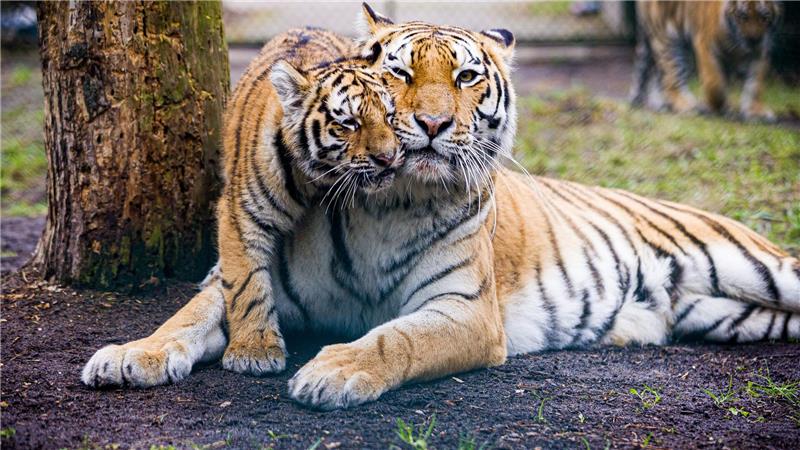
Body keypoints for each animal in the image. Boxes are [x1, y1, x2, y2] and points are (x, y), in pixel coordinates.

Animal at [81, 27, 401, 385]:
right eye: (348, 123)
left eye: (390, 117)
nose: (389, 158)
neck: (316, 178)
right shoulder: (241, 213)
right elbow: (248, 283)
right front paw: (255, 351)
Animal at [630, 0, 781, 121]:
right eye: (742, 16)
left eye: (764, 17)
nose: (754, 41)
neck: (737, 44)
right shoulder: (706, 46)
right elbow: (715, 84)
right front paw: (717, 107)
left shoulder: (760, 53)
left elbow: (755, 85)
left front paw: (756, 111)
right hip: (668, 40)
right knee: (671, 78)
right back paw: (686, 105)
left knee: (658, 76)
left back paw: (661, 105)